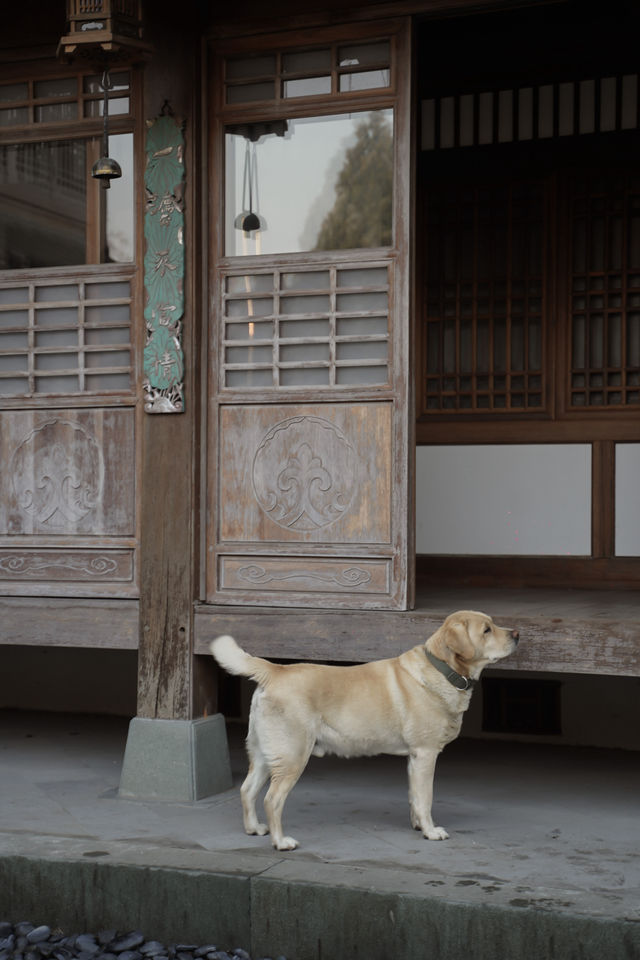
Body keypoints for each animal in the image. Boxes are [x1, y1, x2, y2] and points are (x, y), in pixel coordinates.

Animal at [211, 612, 520, 852]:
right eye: (487, 629)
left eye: (493, 624)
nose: (517, 633)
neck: (443, 669)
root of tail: (276, 670)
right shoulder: (426, 754)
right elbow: (426, 798)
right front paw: (431, 831)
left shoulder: (414, 758)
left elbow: (414, 796)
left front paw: (418, 825)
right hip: (292, 756)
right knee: (271, 799)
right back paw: (281, 841)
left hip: (266, 754)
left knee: (247, 790)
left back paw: (253, 828)